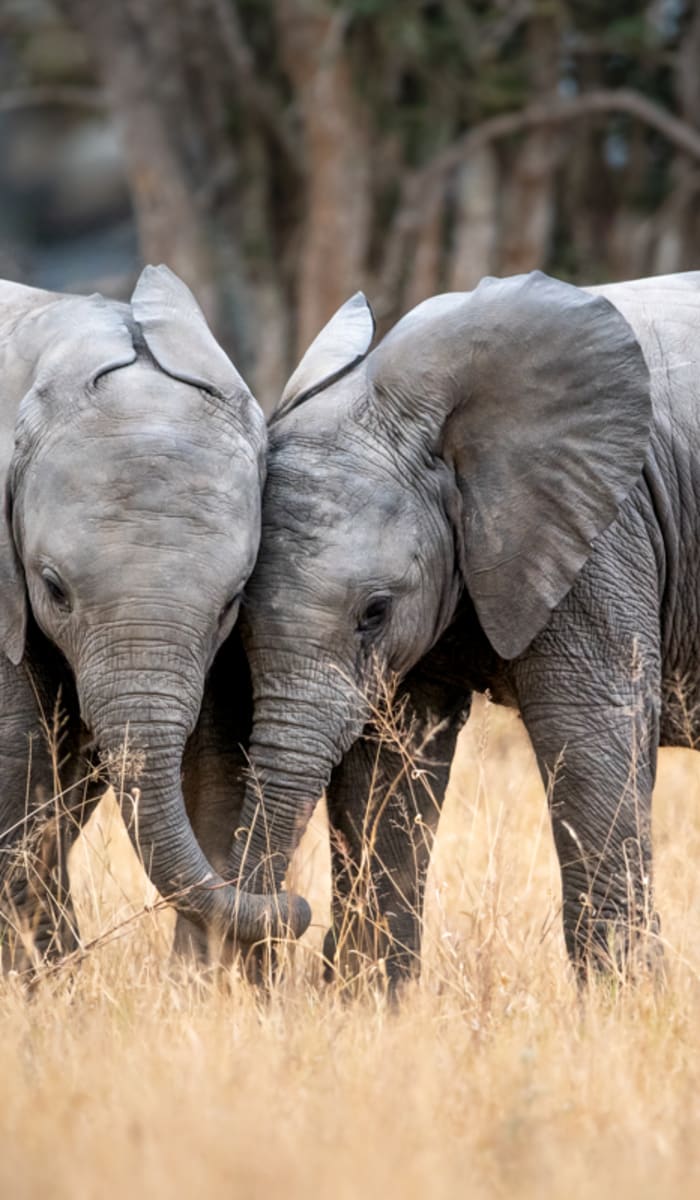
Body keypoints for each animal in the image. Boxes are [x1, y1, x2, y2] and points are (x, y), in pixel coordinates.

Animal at [0, 265, 308, 971]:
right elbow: (15, 751)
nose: (295, 908)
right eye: (53, 589)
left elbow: (214, 755)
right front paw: (48, 983)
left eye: (231, 603)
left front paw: (201, 983)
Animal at [218, 268, 700, 985]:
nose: (286, 916)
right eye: (238, 619)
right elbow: (388, 764)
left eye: (374, 613)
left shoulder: (603, 534)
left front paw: (627, 999)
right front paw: (362, 1000)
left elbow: (589, 733)